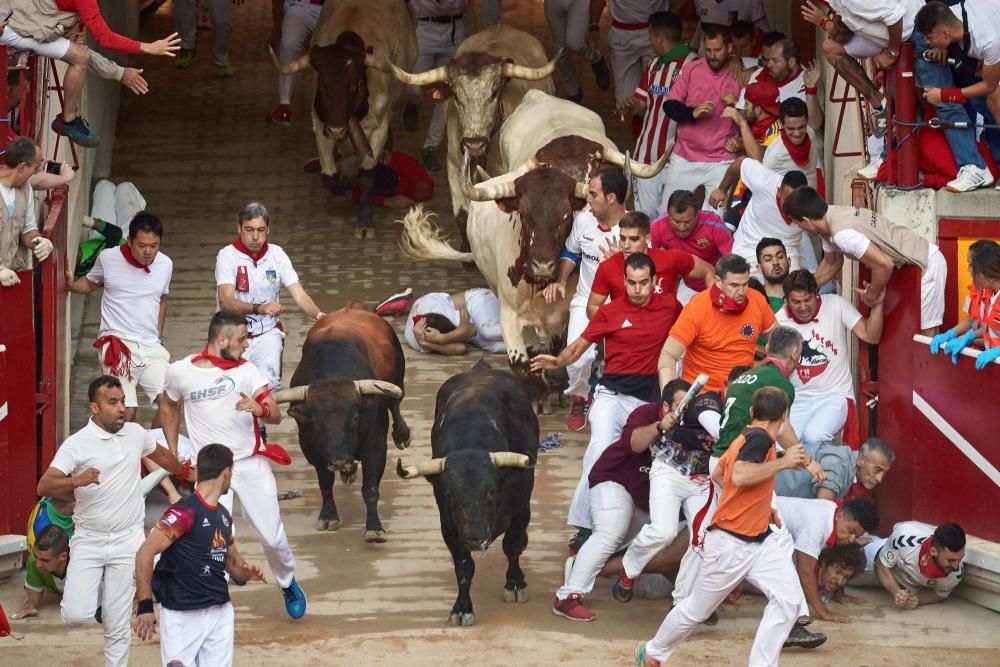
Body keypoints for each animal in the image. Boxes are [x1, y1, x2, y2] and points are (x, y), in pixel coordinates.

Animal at [274, 306, 410, 544]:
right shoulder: (313, 450)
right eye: (316, 423)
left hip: (397, 379)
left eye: (355, 417)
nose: (339, 461)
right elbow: (325, 484)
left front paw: (374, 528)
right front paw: (328, 516)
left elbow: (370, 487)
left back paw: (402, 434)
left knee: (395, 402)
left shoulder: (376, 446)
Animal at [398, 360, 540, 628]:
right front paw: (462, 608)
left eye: (492, 491)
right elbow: (463, 567)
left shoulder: (521, 509)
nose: (476, 539)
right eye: (450, 494)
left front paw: (515, 584)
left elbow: (512, 545)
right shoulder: (449, 526)